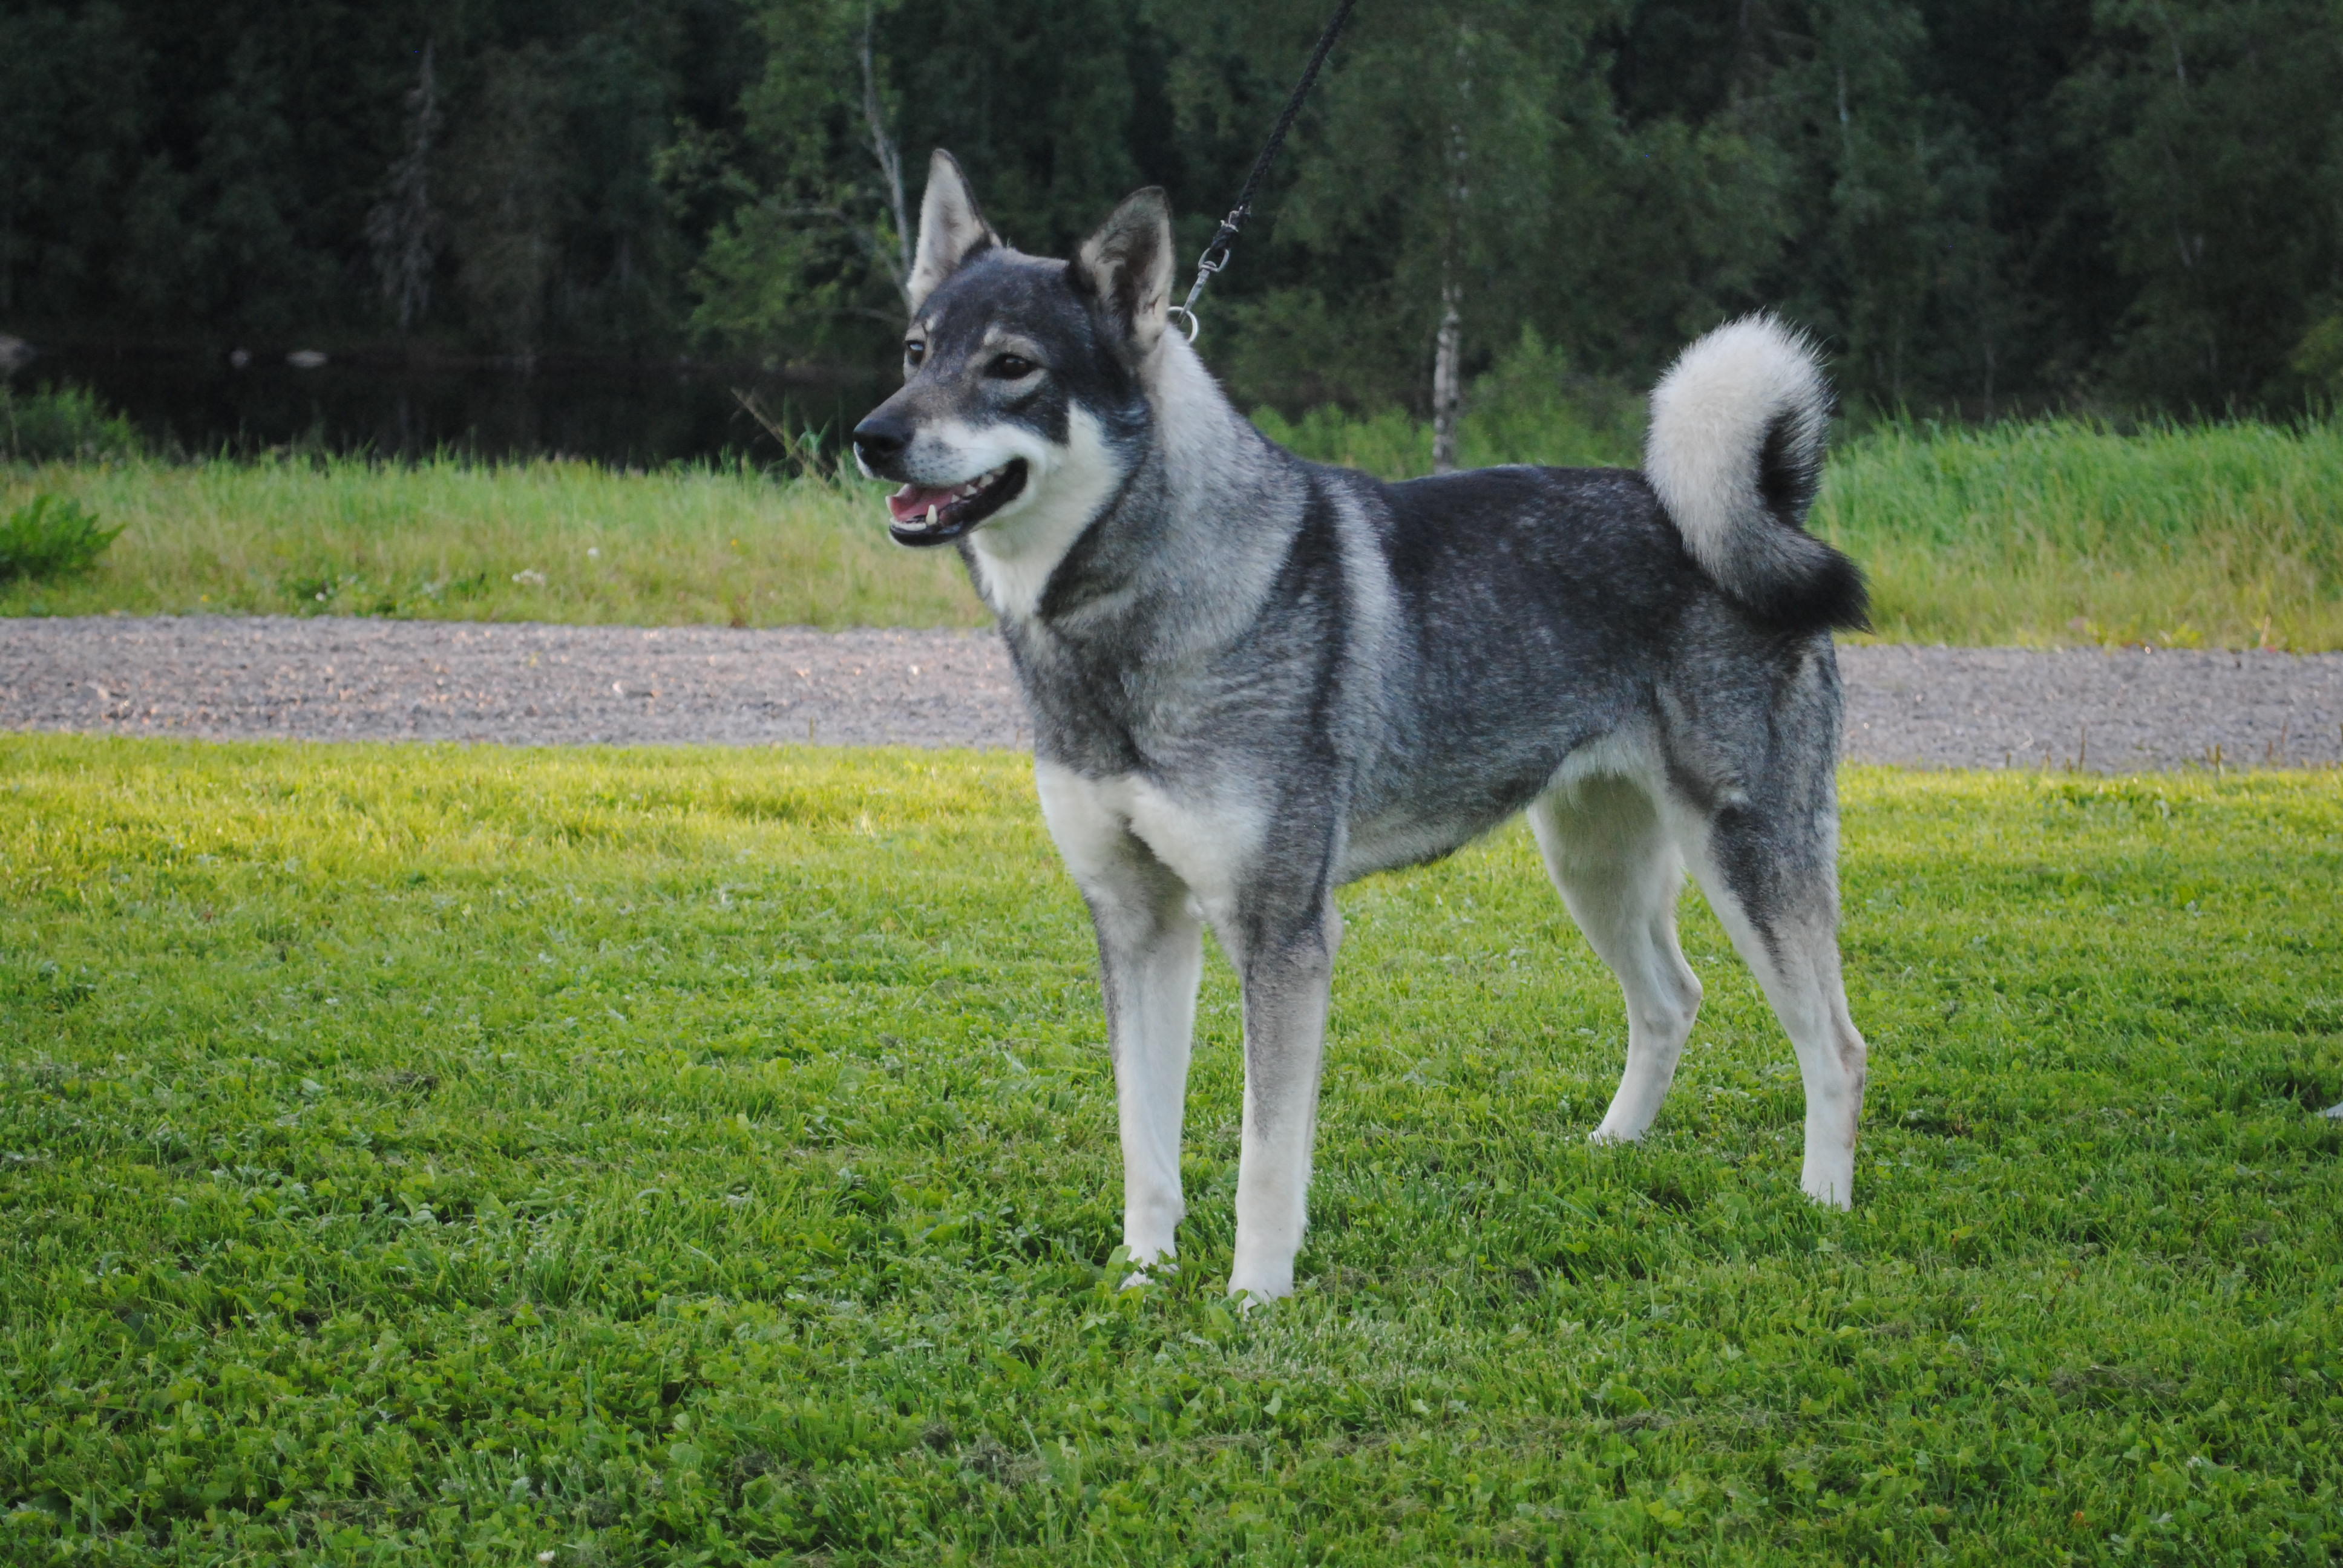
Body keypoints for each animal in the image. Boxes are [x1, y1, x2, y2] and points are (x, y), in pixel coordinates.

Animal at [853, 149, 1874, 1293]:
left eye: (1012, 366)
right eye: (916, 350)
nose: (873, 437)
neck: (1133, 618)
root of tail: (1764, 517)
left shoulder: (1281, 934)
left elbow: (1265, 1156)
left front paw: (1253, 1299)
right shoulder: (1136, 922)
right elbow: (1143, 1139)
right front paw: (1144, 1278)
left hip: (1749, 857)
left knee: (1835, 1049)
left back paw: (1821, 1210)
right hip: (1593, 863)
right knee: (1671, 999)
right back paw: (1613, 1147)